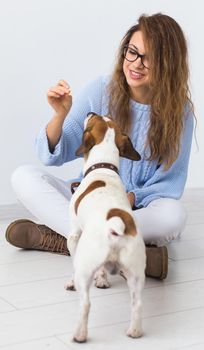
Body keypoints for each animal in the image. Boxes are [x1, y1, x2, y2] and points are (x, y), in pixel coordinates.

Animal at [64, 114, 146, 342]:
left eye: (94, 118)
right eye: (106, 118)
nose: (89, 112)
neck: (104, 167)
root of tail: (116, 225)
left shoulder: (74, 235)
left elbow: (72, 261)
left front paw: (71, 282)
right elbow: (101, 270)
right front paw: (102, 279)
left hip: (85, 268)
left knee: (85, 303)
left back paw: (79, 335)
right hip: (136, 273)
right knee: (137, 303)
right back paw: (134, 332)